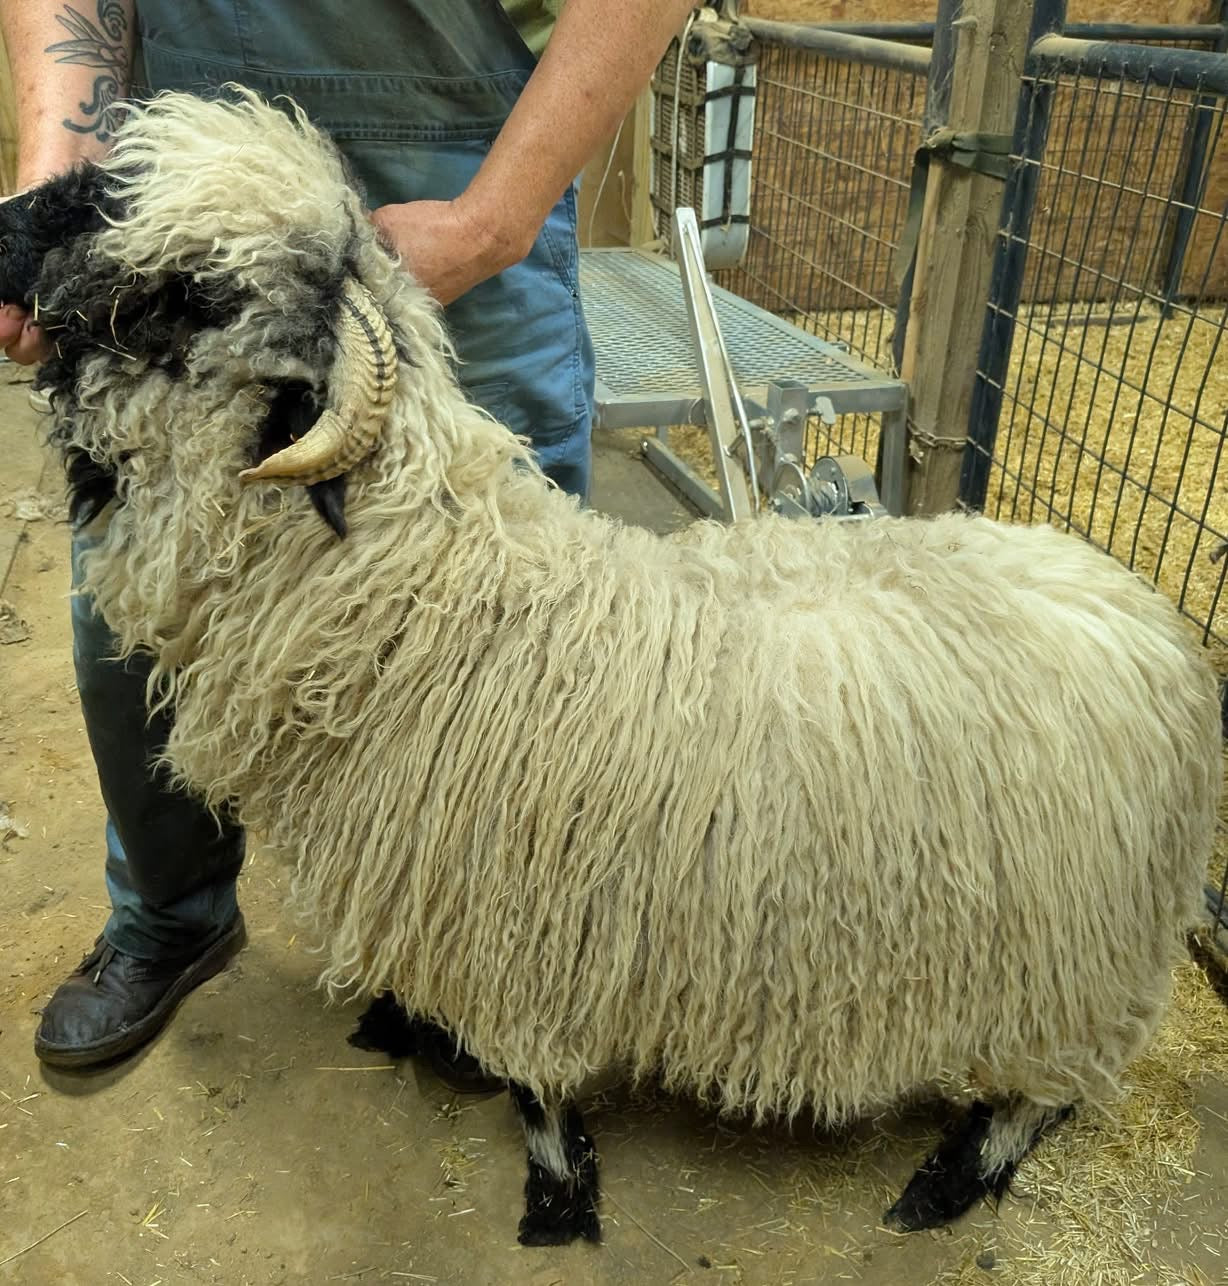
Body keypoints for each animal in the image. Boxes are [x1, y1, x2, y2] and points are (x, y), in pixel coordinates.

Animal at [4, 87, 1221, 1248]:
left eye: (182, 296)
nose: (11, 221)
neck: (421, 602)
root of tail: (1152, 620)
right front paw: (399, 1023)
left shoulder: (518, 932)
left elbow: (535, 1089)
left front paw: (556, 1200)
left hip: (1071, 963)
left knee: (1045, 1094)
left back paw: (947, 1184)